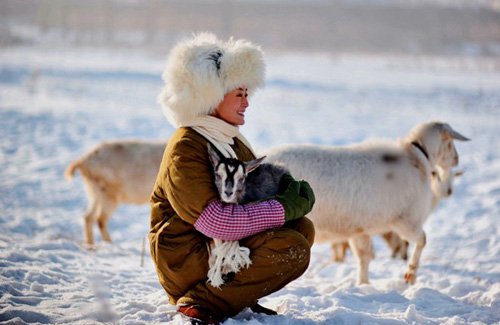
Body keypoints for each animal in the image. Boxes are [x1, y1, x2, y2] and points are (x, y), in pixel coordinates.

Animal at [266, 121, 468, 284]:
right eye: (450, 142)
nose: (457, 159)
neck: (418, 157)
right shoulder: (405, 220)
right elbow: (421, 241)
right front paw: (410, 274)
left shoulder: (359, 229)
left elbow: (364, 258)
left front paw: (363, 284)